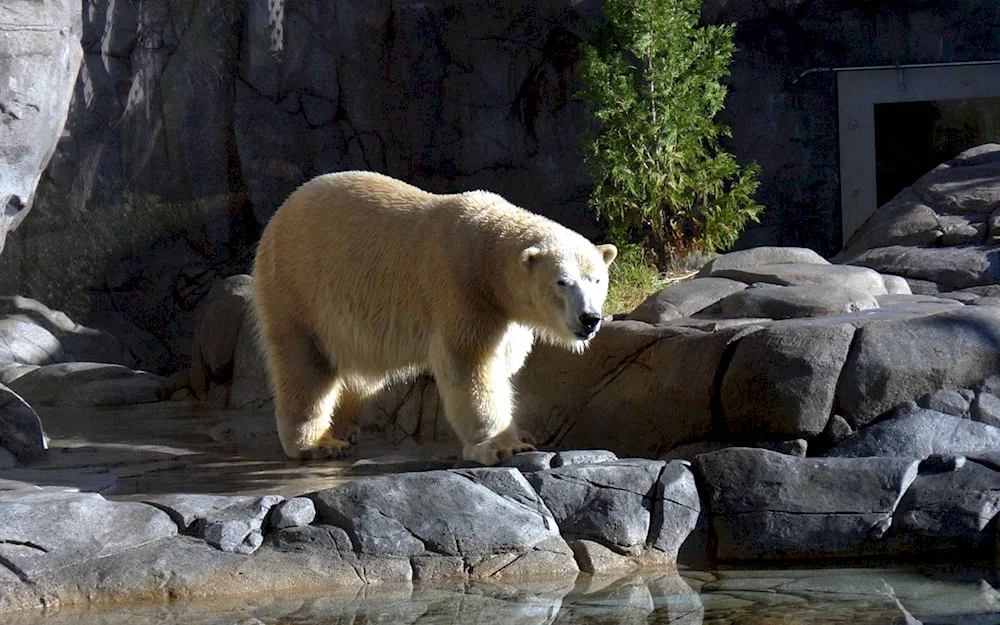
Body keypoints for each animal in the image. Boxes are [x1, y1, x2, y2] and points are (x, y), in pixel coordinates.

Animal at [250, 169, 616, 464]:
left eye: (597, 280)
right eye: (562, 282)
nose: (590, 319)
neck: (486, 252)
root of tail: (280, 213)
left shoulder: (507, 314)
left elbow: (506, 362)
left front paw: (520, 433)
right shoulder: (460, 288)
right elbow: (469, 364)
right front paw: (503, 445)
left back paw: (345, 428)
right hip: (297, 286)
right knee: (305, 365)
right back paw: (319, 443)